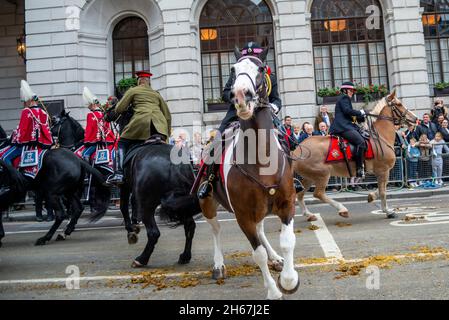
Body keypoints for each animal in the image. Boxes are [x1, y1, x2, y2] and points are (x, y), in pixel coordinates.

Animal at [199, 48, 298, 298]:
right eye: (233, 69)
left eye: (261, 68)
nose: (241, 96)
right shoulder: (243, 215)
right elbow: (258, 254)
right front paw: (273, 291)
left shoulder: (286, 204)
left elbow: (287, 240)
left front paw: (289, 279)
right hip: (207, 204)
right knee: (216, 229)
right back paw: (218, 265)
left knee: (261, 230)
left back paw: (277, 259)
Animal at [294, 90, 416, 220]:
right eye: (398, 104)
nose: (415, 119)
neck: (380, 136)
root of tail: (297, 150)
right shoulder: (383, 170)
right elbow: (383, 191)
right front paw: (388, 211)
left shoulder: (381, 171)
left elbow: (381, 189)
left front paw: (371, 197)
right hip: (322, 175)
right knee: (318, 194)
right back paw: (342, 209)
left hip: (310, 177)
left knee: (300, 194)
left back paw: (309, 214)